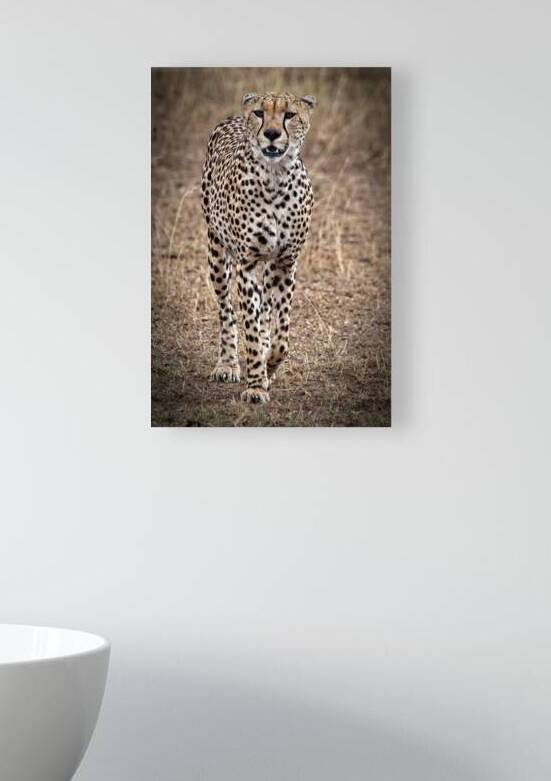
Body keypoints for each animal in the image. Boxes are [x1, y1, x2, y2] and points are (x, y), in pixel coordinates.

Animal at [201, 91, 316, 404]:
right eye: (259, 113)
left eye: (289, 115)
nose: (272, 134)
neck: (275, 177)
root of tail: (231, 119)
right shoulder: (248, 262)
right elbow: (250, 327)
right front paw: (255, 384)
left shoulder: (286, 262)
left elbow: (282, 334)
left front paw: (269, 366)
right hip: (217, 252)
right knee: (227, 311)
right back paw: (228, 364)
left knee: (264, 310)